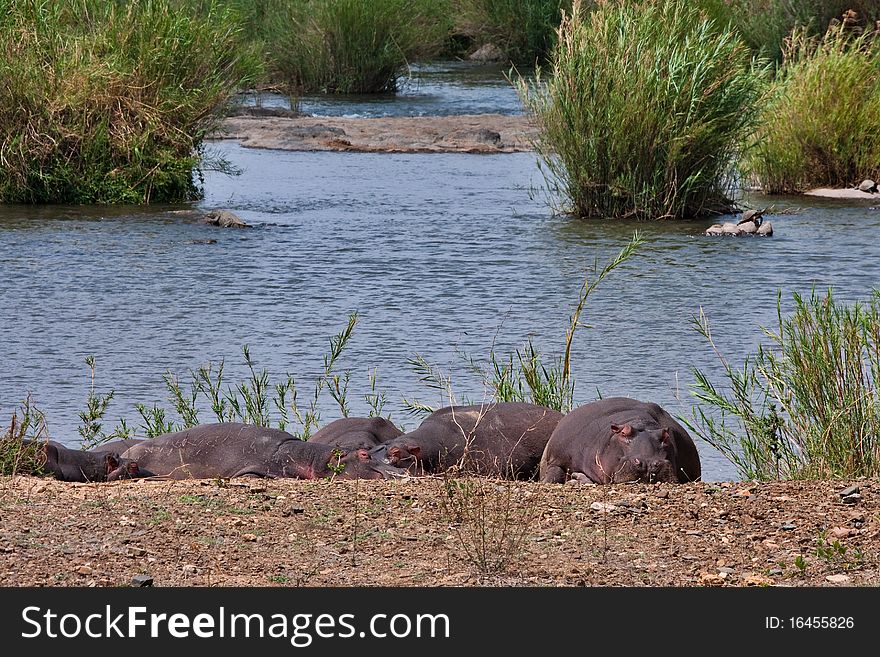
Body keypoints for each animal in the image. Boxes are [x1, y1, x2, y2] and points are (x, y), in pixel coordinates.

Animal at [536, 398, 700, 484]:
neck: (641, 424)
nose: (648, 463)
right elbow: (554, 473)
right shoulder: (558, 457)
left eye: (665, 435)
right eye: (623, 432)